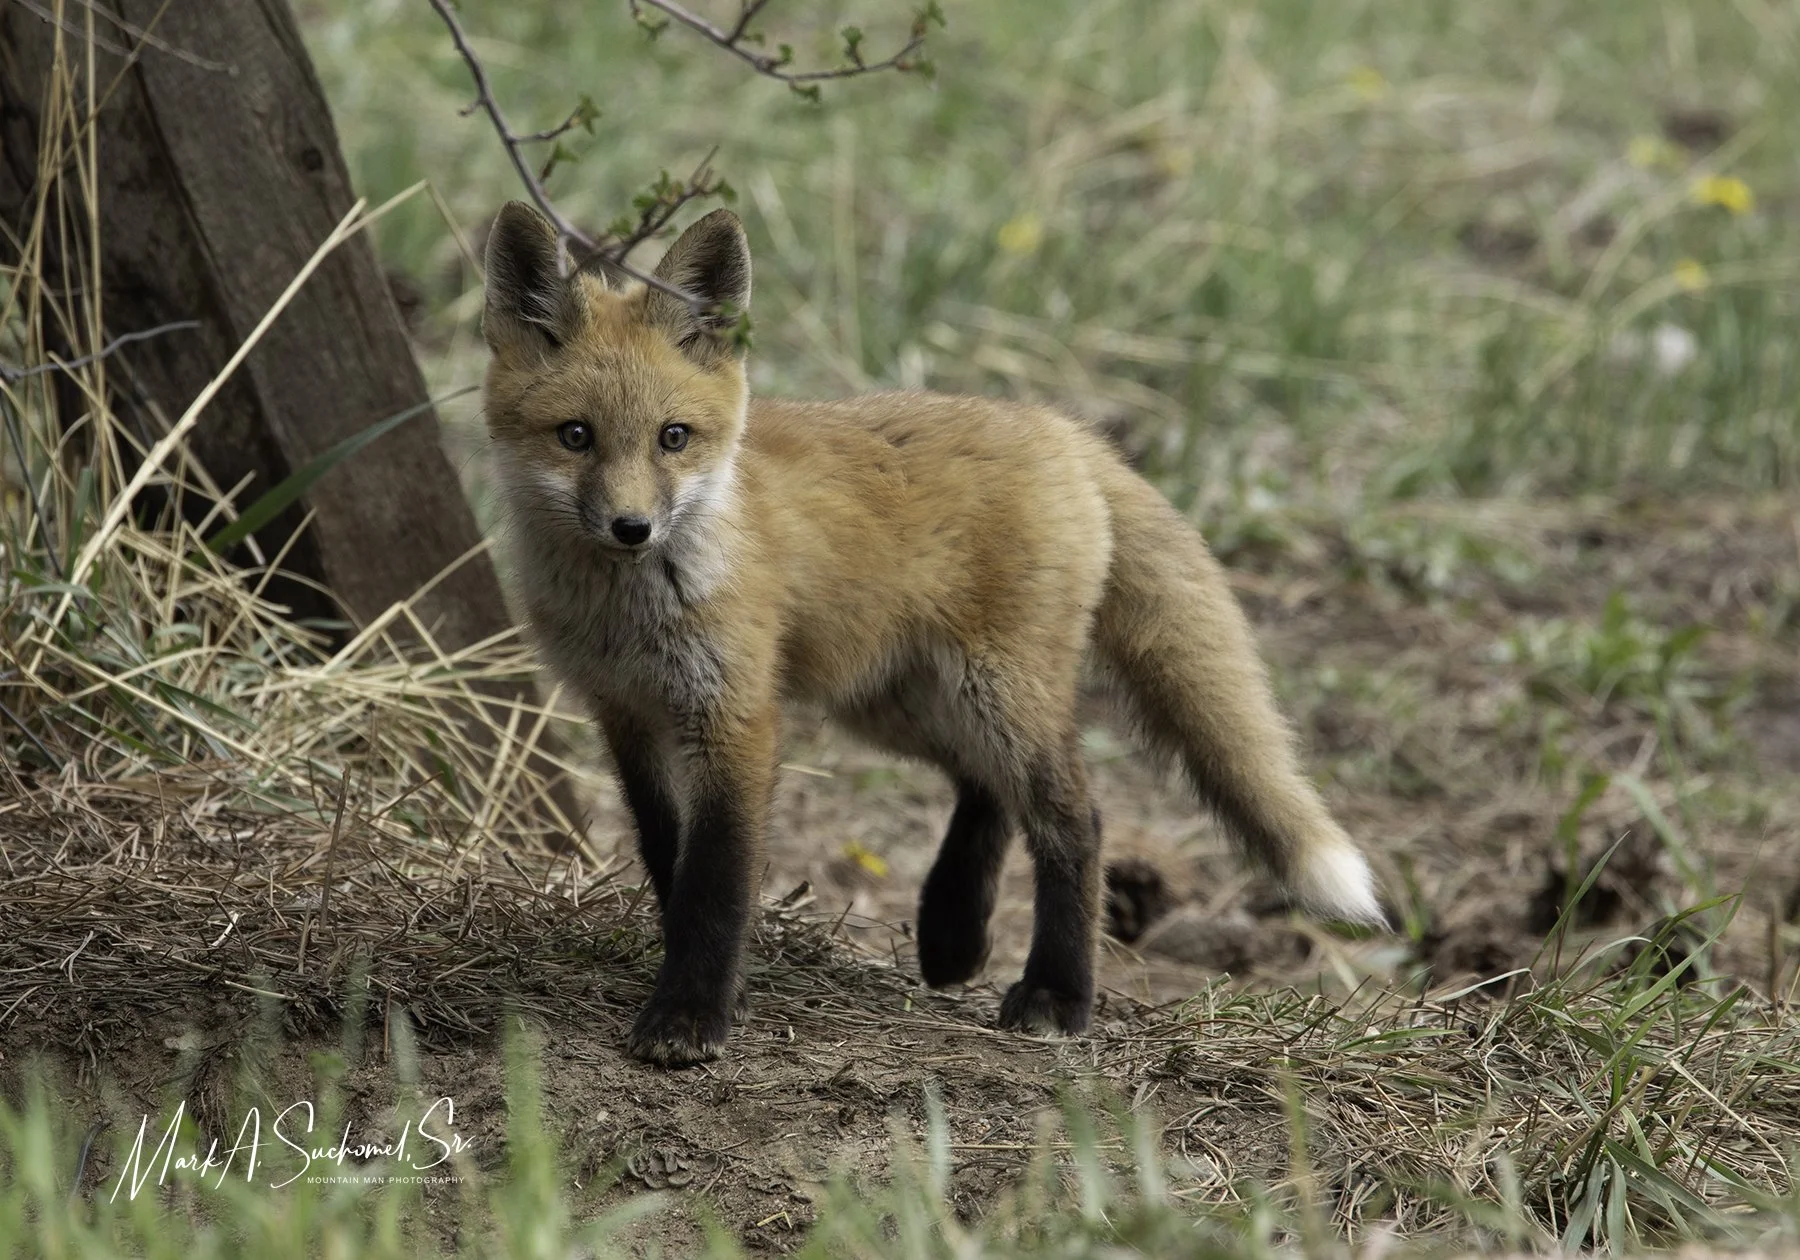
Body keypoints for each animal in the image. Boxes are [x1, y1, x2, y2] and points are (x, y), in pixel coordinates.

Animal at [480, 201, 1385, 1067]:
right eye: (575, 436)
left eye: (673, 437)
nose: (632, 528)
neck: (627, 613)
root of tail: (1061, 428)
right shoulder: (626, 716)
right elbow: (668, 856)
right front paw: (700, 975)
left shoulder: (734, 714)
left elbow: (716, 879)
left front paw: (692, 1014)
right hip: (892, 701)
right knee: (985, 787)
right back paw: (954, 932)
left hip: (991, 691)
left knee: (1074, 814)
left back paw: (1057, 993)